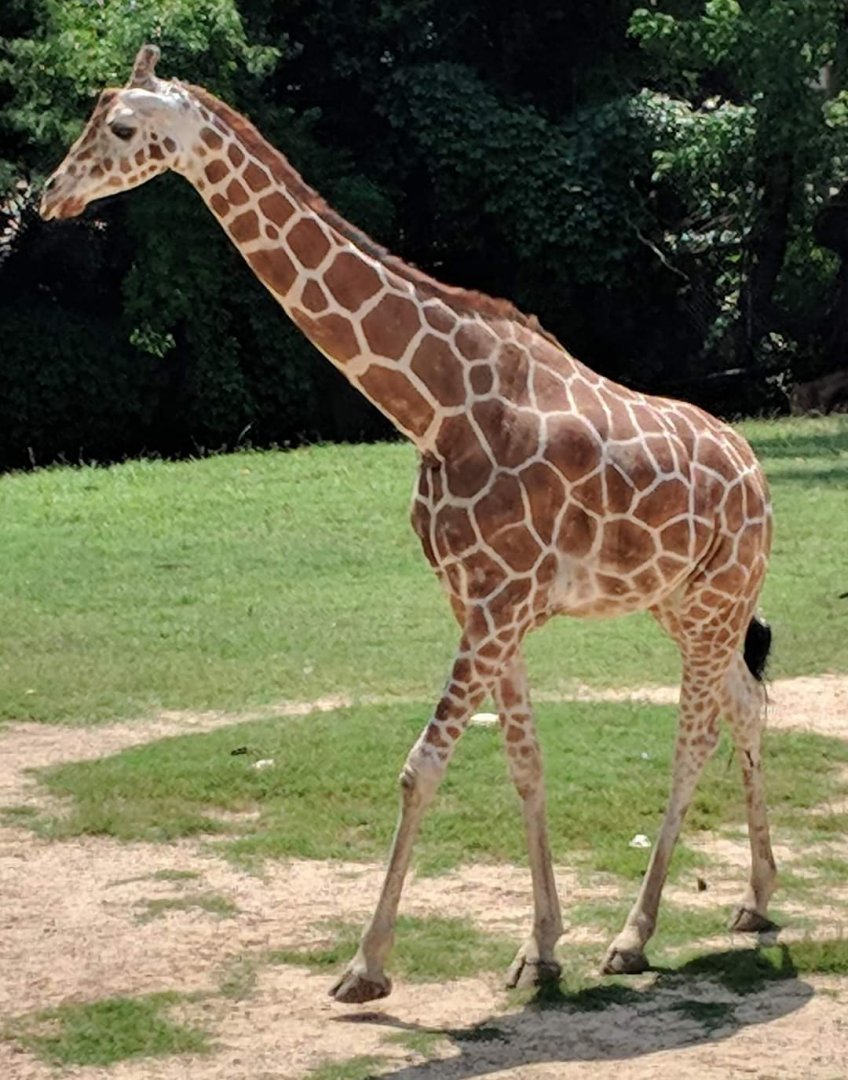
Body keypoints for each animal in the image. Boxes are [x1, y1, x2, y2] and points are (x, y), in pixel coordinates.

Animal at [41, 46, 777, 1003]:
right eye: (92, 117)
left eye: (123, 128)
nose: (51, 194)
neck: (434, 404)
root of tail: (759, 474)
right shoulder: (483, 603)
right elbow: (524, 762)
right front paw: (539, 948)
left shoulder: (499, 605)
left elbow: (421, 766)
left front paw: (365, 966)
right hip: (686, 606)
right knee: (746, 705)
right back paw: (755, 901)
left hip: (719, 601)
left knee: (693, 738)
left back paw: (634, 935)